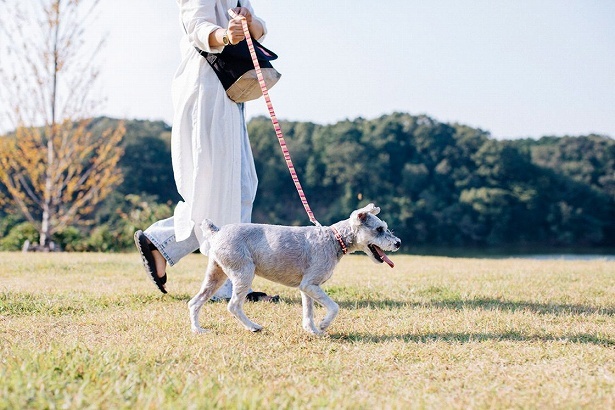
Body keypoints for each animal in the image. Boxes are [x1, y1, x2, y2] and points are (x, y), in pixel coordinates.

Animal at [188, 203, 402, 334]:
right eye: (379, 229)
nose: (399, 243)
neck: (334, 239)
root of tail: (216, 232)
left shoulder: (306, 287)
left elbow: (308, 311)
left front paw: (313, 331)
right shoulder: (311, 284)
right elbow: (334, 306)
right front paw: (323, 325)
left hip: (216, 275)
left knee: (194, 302)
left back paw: (198, 330)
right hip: (243, 273)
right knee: (233, 305)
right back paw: (254, 327)